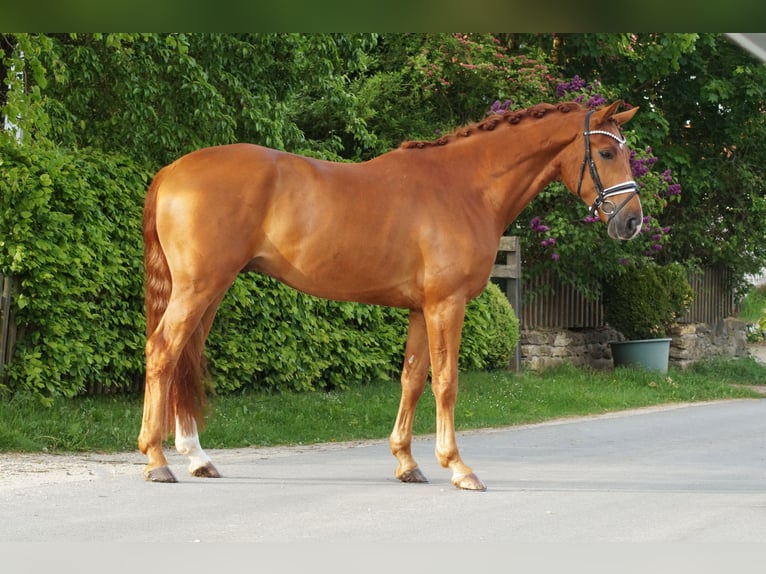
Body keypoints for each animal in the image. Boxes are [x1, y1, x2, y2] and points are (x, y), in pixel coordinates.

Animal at [140, 99, 640, 490]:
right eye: (606, 151)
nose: (632, 221)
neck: (464, 186)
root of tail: (171, 170)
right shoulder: (446, 305)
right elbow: (446, 381)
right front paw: (458, 467)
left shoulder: (422, 309)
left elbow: (413, 379)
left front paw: (407, 462)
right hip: (199, 287)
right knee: (163, 351)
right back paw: (157, 460)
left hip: (211, 290)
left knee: (185, 356)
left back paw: (197, 458)